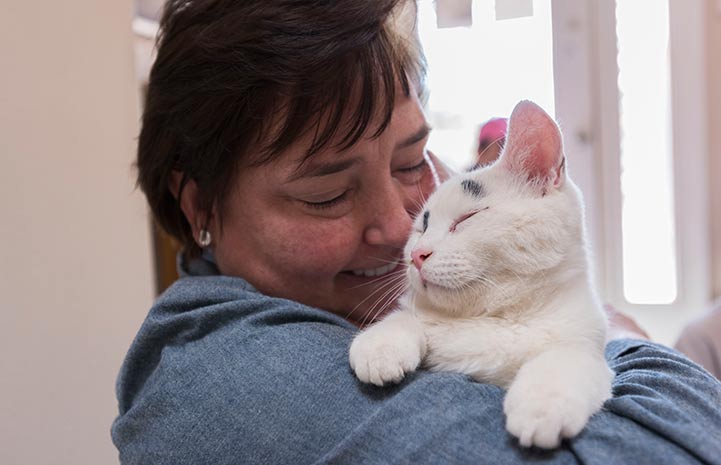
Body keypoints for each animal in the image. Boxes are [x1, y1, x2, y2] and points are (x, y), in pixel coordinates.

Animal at [348, 99, 612, 448]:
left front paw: (541, 405)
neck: (493, 319)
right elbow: (405, 317)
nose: (418, 255)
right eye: (422, 227)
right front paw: (380, 346)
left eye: (467, 218)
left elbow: (563, 360)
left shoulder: (588, 347)